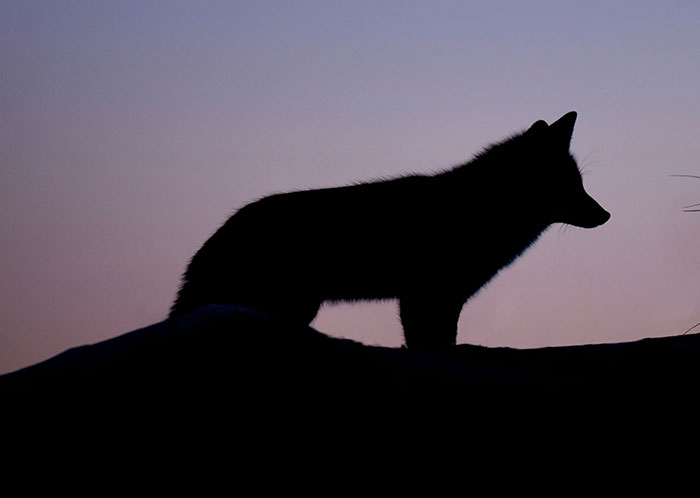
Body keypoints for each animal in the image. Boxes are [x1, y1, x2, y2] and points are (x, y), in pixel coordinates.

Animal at [170, 111, 610, 349]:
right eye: (568, 185)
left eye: (580, 183)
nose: (605, 215)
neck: (479, 209)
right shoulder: (425, 297)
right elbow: (429, 345)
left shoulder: (444, 299)